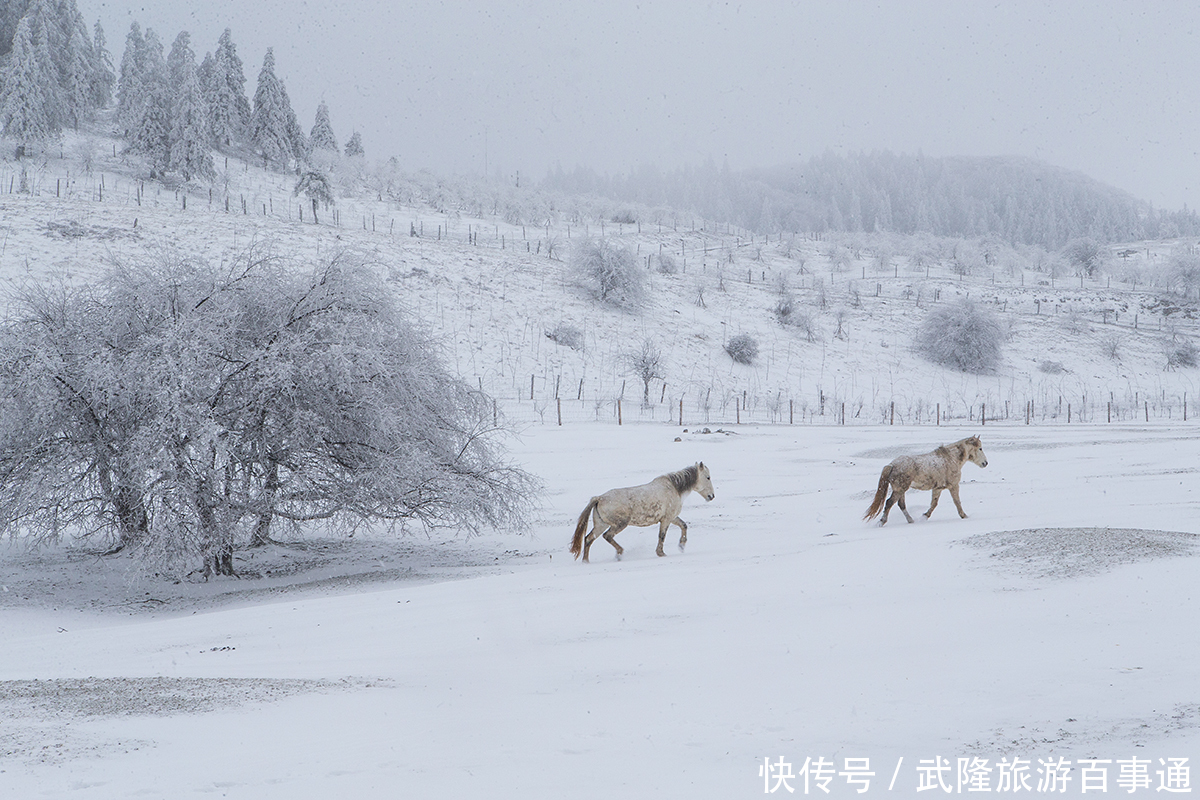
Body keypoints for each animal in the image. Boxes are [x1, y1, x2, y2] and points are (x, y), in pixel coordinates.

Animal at [568, 462, 710, 563]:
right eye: (708, 477)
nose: (711, 496)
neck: (673, 488)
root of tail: (599, 498)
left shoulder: (672, 517)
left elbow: (683, 525)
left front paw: (682, 545)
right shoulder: (666, 519)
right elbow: (662, 535)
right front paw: (661, 553)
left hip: (601, 525)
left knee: (588, 539)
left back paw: (586, 561)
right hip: (620, 524)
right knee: (607, 536)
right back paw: (620, 553)